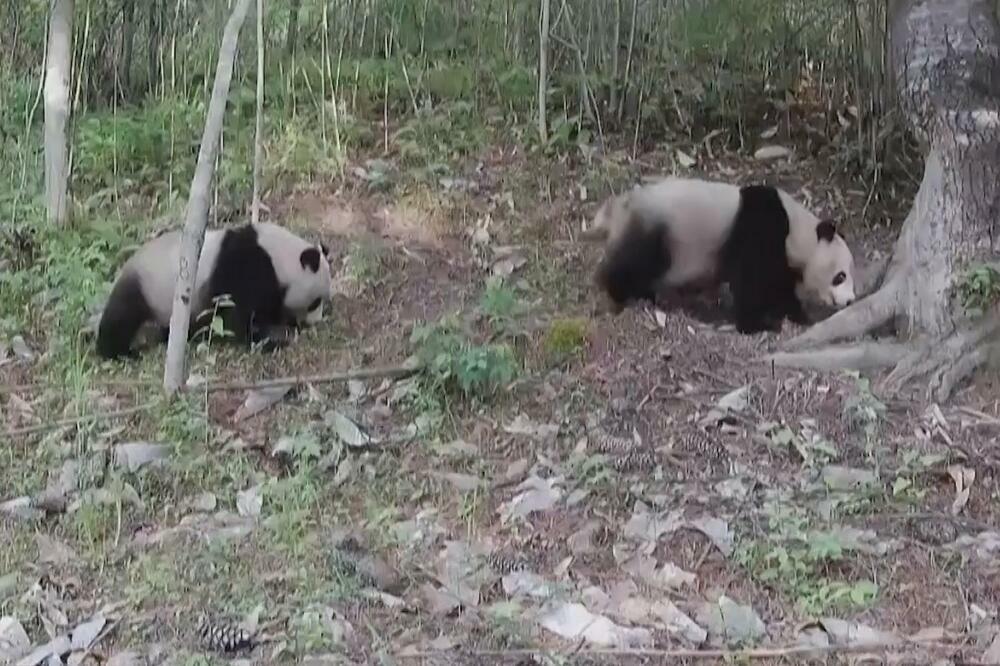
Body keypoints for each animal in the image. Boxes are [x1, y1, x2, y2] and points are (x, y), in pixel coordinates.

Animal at [96, 222, 333, 359]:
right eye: (315, 301)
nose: (315, 321)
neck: (277, 255)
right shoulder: (245, 269)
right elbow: (236, 316)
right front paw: (269, 338)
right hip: (146, 284)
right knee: (122, 316)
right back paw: (118, 352)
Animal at [588, 176, 856, 334]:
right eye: (840, 276)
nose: (850, 301)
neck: (798, 230)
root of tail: (617, 210)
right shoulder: (760, 228)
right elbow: (752, 281)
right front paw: (760, 324)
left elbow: (779, 285)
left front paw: (798, 315)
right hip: (658, 231)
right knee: (634, 262)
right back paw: (621, 292)